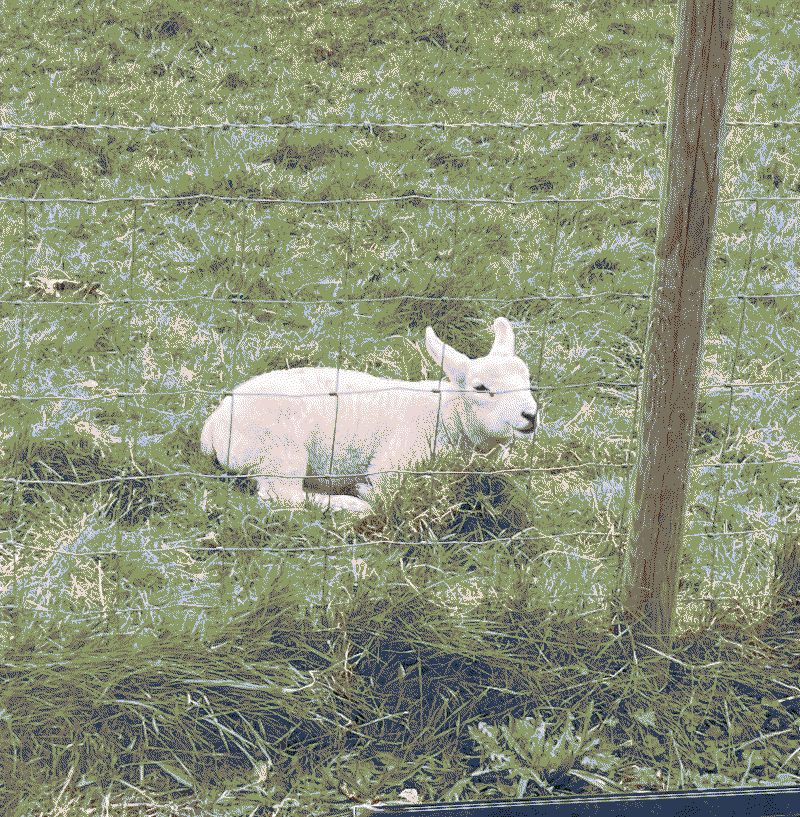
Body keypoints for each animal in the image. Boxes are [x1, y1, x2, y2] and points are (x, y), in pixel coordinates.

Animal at [200, 317, 539, 515]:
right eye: (480, 388)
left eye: (528, 378)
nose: (530, 415)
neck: (448, 416)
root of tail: (215, 423)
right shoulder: (395, 462)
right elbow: (385, 493)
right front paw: (364, 493)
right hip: (279, 449)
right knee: (282, 496)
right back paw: (348, 504)